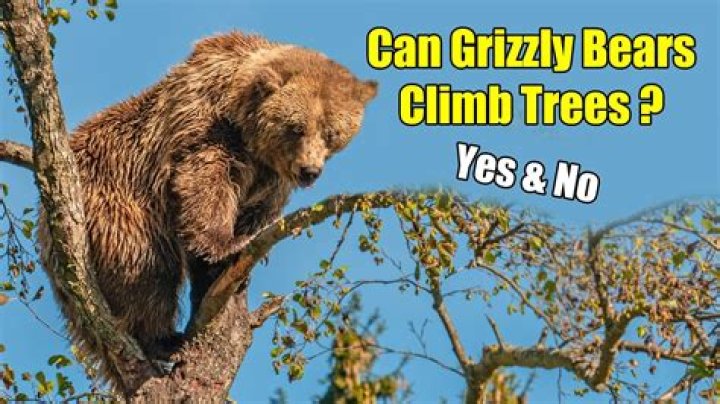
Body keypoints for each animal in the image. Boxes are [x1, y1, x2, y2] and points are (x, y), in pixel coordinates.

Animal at [37, 31, 377, 390]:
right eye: (297, 127)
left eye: (331, 133)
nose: (309, 171)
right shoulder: (203, 128)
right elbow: (204, 185)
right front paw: (227, 246)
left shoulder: (270, 180)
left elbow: (254, 214)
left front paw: (226, 272)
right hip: (115, 206)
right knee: (146, 267)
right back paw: (163, 339)